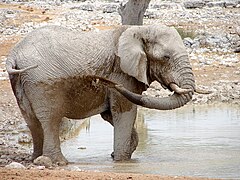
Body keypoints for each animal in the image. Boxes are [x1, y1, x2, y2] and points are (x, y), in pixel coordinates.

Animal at [6, 24, 195, 166]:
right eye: (166, 57)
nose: (102, 81)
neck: (140, 30)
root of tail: (14, 54)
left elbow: (109, 115)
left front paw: (118, 156)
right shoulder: (122, 73)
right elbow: (125, 113)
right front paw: (122, 162)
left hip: (21, 81)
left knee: (31, 120)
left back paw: (37, 159)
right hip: (42, 81)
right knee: (50, 119)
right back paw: (59, 162)